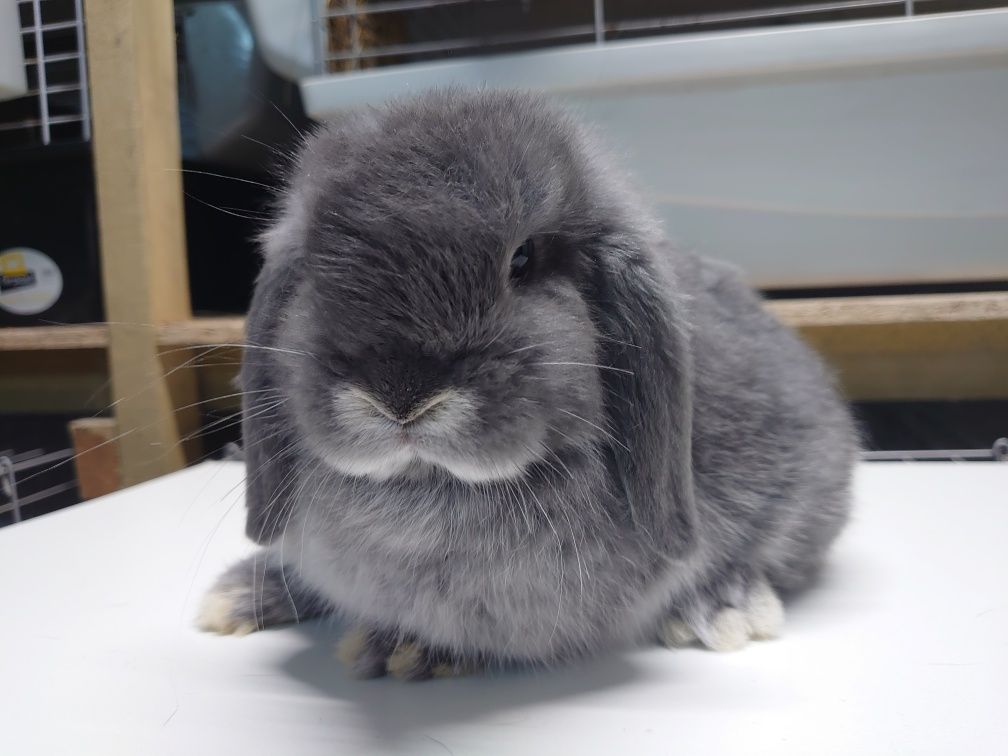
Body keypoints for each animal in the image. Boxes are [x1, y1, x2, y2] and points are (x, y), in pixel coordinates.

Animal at [198, 88, 858, 681]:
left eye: (524, 260)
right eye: (315, 265)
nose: (400, 395)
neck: (431, 488)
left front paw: (412, 650)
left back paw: (725, 605)